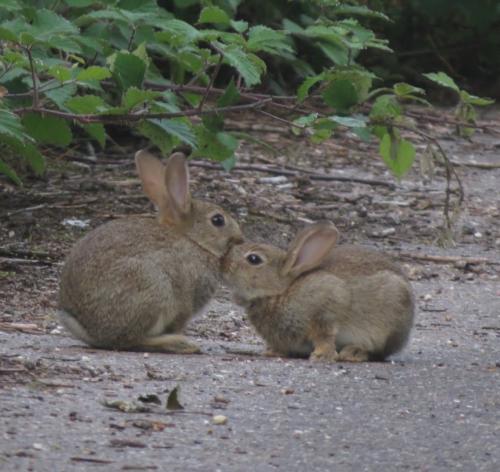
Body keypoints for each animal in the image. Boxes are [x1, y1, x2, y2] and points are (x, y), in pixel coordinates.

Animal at [57, 149, 243, 352]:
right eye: (218, 220)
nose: (240, 238)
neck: (193, 240)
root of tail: (93, 331)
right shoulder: (184, 304)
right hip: (153, 287)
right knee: (131, 340)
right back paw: (182, 344)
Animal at [223, 223, 414, 364]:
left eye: (254, 259)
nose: (225, 263)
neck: (281, 291)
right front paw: (272, 352)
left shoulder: (326, 308)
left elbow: (324, 336)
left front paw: (321, 356)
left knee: (378, 352)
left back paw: (353, 353)